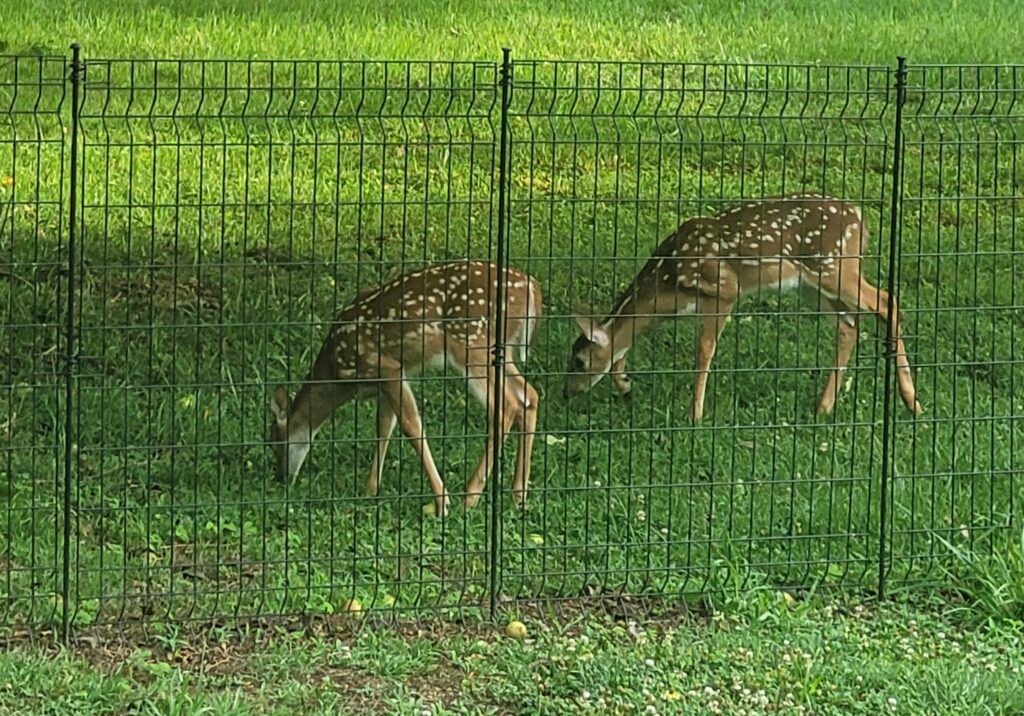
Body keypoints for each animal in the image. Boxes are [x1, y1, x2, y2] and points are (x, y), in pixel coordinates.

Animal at [268, 260, 542, 518]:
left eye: (273, 442)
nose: (281, 478)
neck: (338, 374)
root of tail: (531, 288)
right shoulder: (391, 376)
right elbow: (384, 427)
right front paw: (369, 491)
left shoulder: (385, 367)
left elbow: (411, 426)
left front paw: (441, 502)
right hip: (503, 351)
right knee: (529, 395)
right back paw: (518, 494)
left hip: (471, 341)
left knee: (506, 405)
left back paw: (470, 497)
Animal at [563, 192, 923, 421]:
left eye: (580, 361)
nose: (570, 392)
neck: (667, 282)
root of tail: (861, 219)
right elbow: (623, 349)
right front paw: (625, 385)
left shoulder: (723, 291)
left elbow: (704, 351)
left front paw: (694, 415)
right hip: (812, 284)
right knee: (850, 325)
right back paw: (824, 407)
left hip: (835, 266)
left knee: (887, 302)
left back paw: (911, 401)